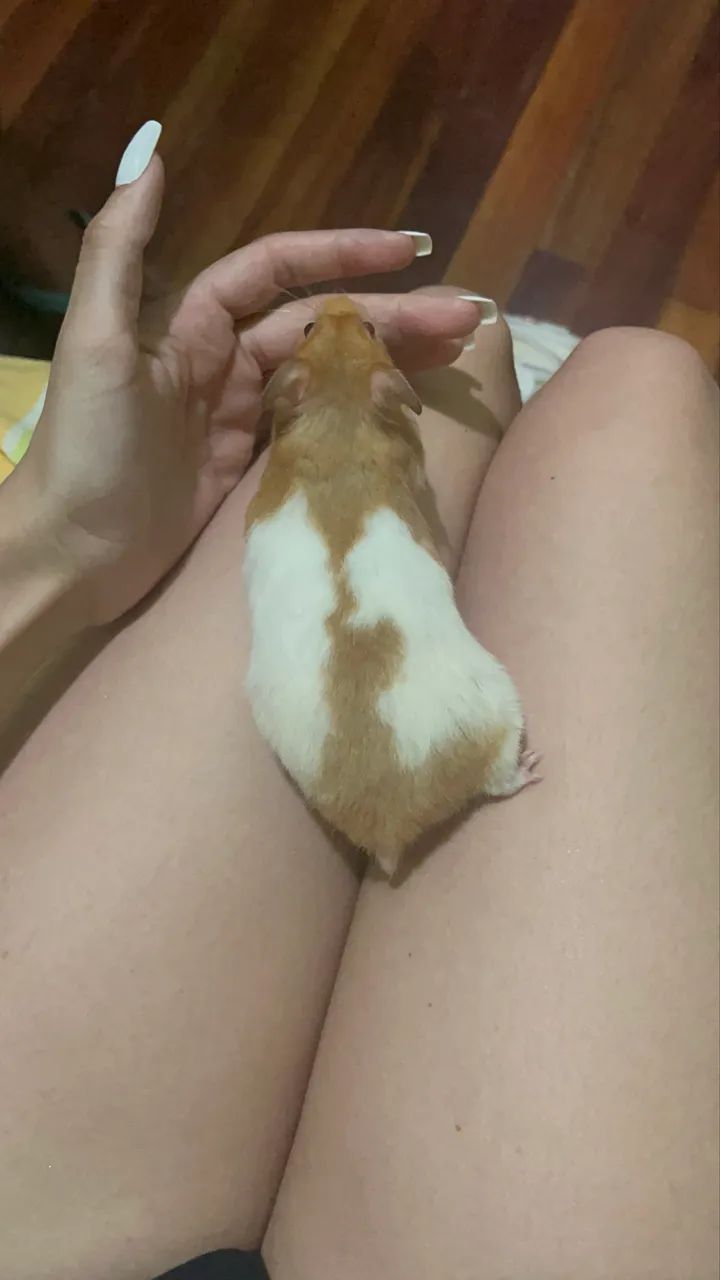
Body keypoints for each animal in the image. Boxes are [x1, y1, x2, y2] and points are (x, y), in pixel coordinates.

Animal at [243, 297, 539, 877]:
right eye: (373, 328)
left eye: (307, 327)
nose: (342, 300)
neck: (338, 411)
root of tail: (390, 827)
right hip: (501, 707)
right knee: (500, 782)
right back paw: (532, 768)